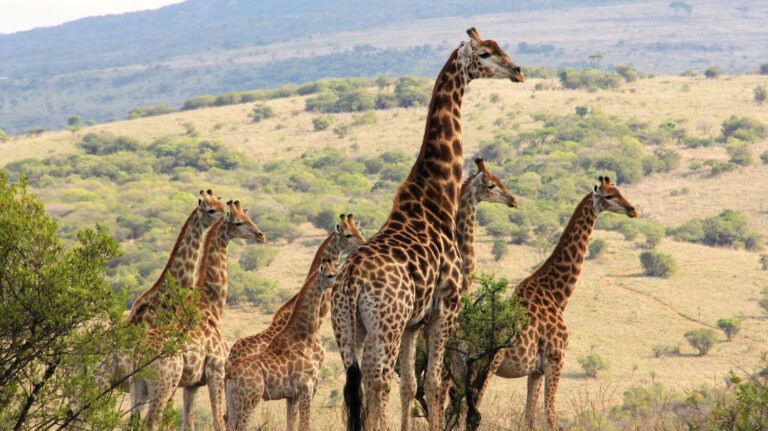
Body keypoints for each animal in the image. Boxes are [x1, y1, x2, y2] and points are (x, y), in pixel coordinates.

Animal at [130, 200, 265, 431]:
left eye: (248, 217)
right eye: (238, 222)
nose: (260, 235)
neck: (212, 306)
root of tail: (141, 354)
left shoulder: (192, 383)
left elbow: (188, 422)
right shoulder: (216, 370)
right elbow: (218, 421)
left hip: (138, 385)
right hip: (165, 384)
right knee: (151, 421)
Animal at [224, 261, 340, 431]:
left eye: (337, 270)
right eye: (330, 275)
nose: (340, 282)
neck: (306, 337)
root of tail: (230, 373)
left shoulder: (292, 395)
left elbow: (291, 425)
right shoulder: (306, 388)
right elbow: (305, 425)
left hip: (232, 401)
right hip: (249, 399)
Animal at [330, 28, 525, 431]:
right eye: (485, 54)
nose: (518, 71)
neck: (434, 197)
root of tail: (351, 281)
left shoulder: (413, 324)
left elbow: (412, 384)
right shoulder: (445, 308)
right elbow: (435, 383)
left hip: (348, 329)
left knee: (356, 384)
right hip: (384, 325)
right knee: (377, 379)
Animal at [492, 176, 637, 430]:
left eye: (620, 191)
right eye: (609, 196)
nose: (632, 210)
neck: (556, 295)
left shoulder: (536, 370)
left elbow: (529, 416)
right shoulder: (556, 359)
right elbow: (550, 414)